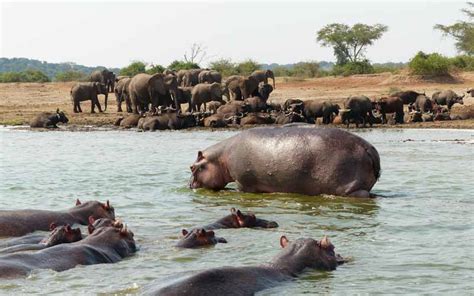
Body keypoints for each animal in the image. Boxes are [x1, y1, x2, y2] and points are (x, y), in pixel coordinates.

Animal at [189, 123, 382, 198]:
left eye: (191, 167)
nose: (189, 185)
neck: (220, 157)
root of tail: (369, 148)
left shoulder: (243, 184)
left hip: (350, 189)